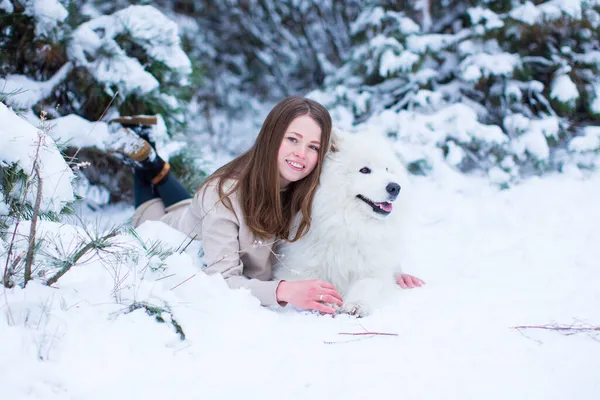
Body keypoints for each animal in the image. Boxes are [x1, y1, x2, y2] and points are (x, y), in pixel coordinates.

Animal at [274, 130, 410, 316]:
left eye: (387, 169)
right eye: (364, 170)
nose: (395, 187)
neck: (348, 226)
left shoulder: (375, 271)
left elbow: (367, 284)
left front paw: (356, 305)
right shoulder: (297, 267)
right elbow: (310, 281)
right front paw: (325, 301)